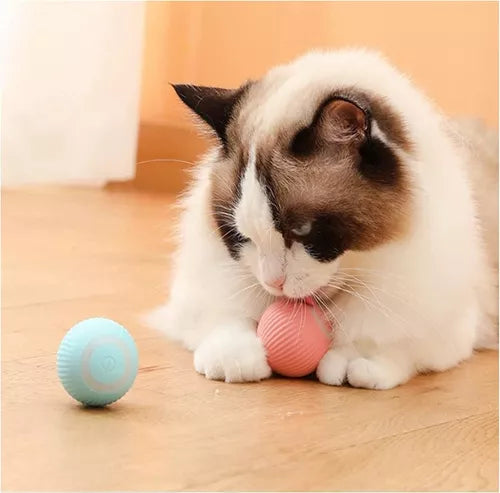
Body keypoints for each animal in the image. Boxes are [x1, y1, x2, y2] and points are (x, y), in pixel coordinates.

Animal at [146, 49, 498, 388]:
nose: (273, 283)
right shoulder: (203, 296)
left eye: (303, 230)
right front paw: (234, 360)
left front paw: (353, 363)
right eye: (240, 236)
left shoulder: (444, 321)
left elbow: (386, 340)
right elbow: (226, 319)